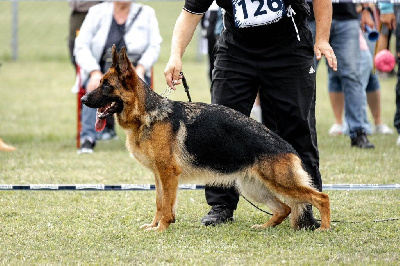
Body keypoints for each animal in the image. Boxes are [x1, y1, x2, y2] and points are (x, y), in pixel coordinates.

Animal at [82, 46, 332, 233]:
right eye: (100, 82)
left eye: (106, 85)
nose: (83, 99)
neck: (148, 114)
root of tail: (287, 147)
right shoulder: (159, 175)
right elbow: (159, 203)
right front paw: (154, 225)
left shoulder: (168, 174)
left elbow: (166, 206)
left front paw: (162, 228)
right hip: (253, 187)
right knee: (284, 209)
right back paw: (264, 226)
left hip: (281, 183)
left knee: (321, 197)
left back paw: (324, 228)